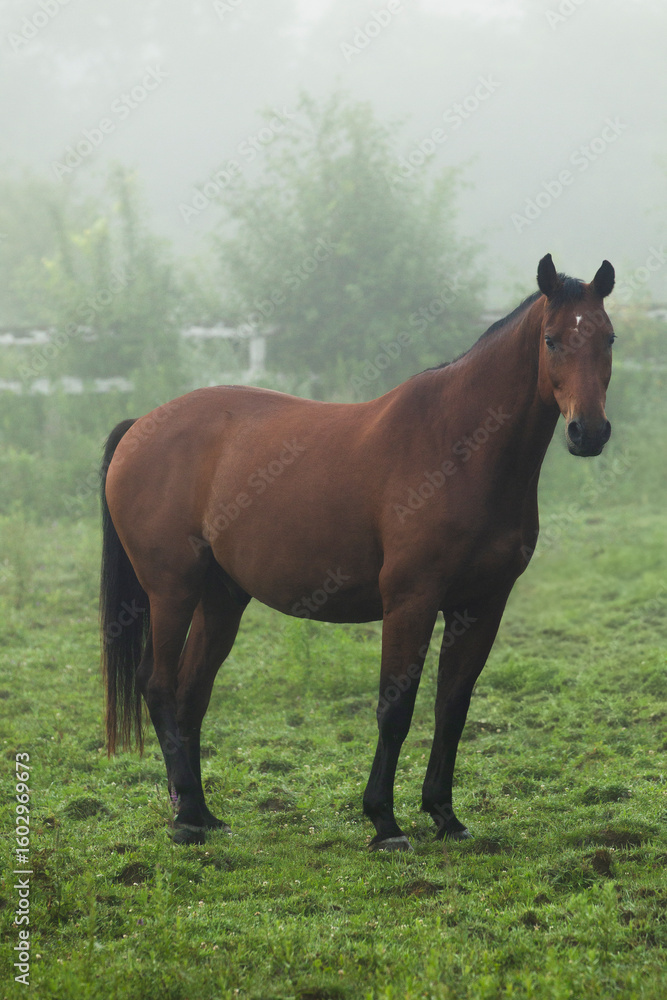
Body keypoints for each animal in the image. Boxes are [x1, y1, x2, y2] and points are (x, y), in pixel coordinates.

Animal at [100, 253, 616, 849]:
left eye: (608, 337)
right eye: (552, 340)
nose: (588, 432)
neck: (460, 446)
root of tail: (140, 426)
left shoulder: (482, 604)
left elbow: (452, 705)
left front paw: (444, 815)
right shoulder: (411, 600)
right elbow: (396, 709)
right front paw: (384, 822)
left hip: (220, 598)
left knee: (191, 694)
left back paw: (202, 812)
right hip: (171, 590)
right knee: (158, 686)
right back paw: (185, 818)